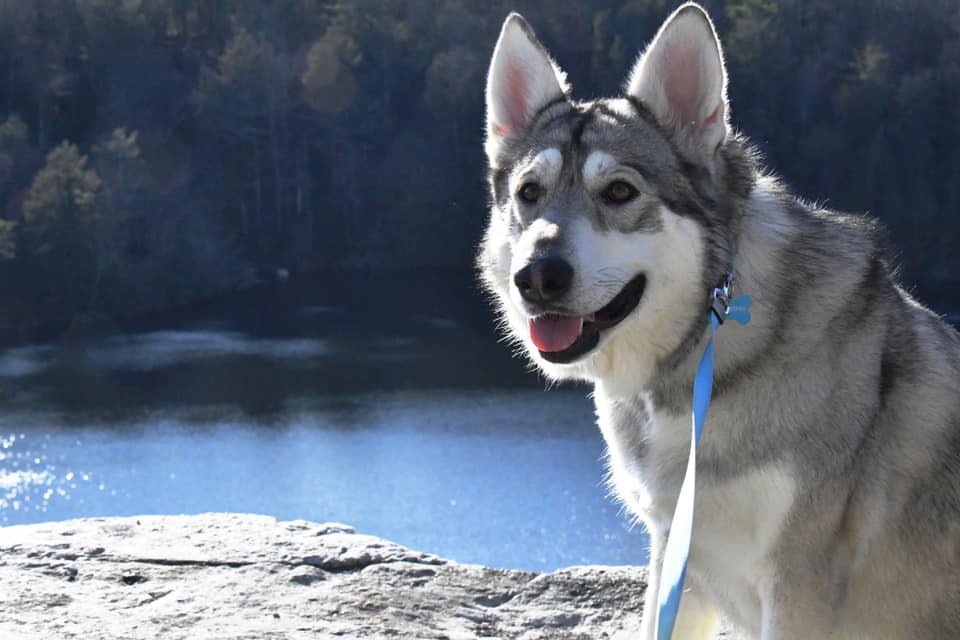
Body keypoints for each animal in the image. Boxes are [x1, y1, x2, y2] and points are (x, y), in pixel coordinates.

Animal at [484, 5, 960, 640]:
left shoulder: (796, 584)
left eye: (619, 191)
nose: (537, 276)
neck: (697, 360)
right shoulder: (678, 551)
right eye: (529, 192)